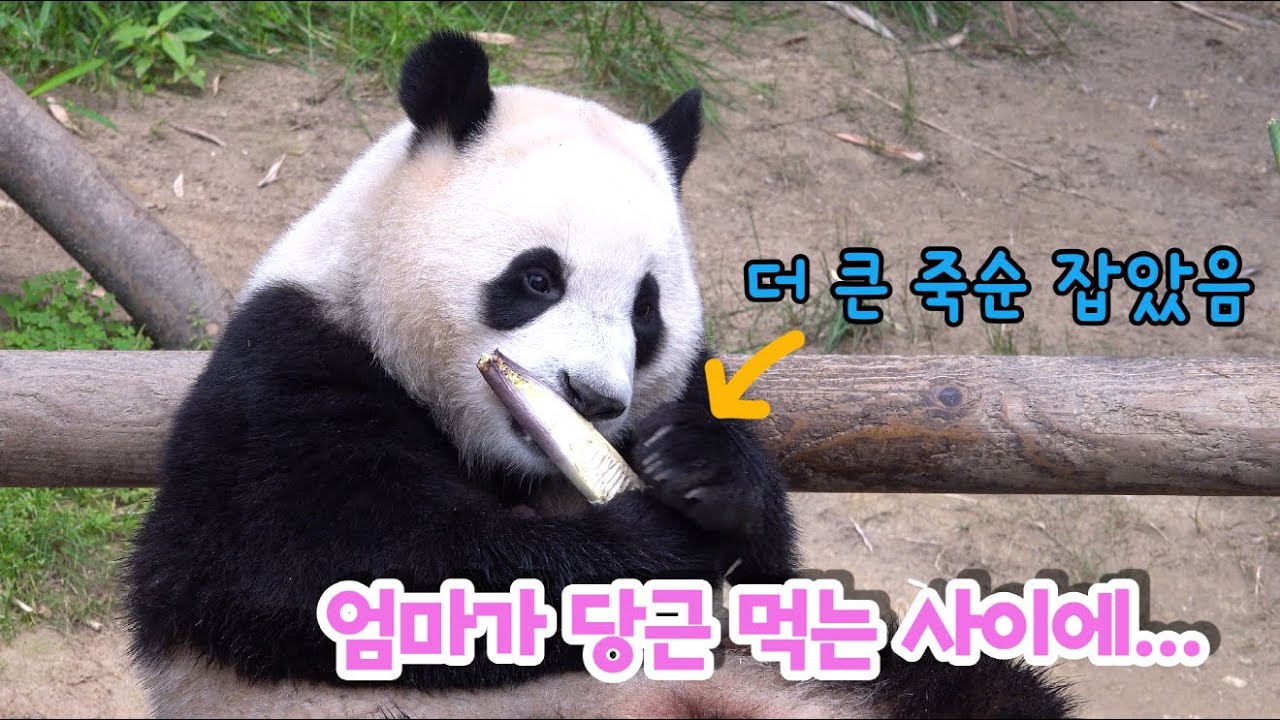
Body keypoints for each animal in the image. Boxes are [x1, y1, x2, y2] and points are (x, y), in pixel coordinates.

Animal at [124, 31, 1075, 719]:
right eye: (538, 278)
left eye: (646, 310)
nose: (592, 398)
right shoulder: (287, 367)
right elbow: (305, 562)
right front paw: (651, 548)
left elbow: (767, 574)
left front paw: (705, 474)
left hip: (811, 683)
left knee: (981, 690)